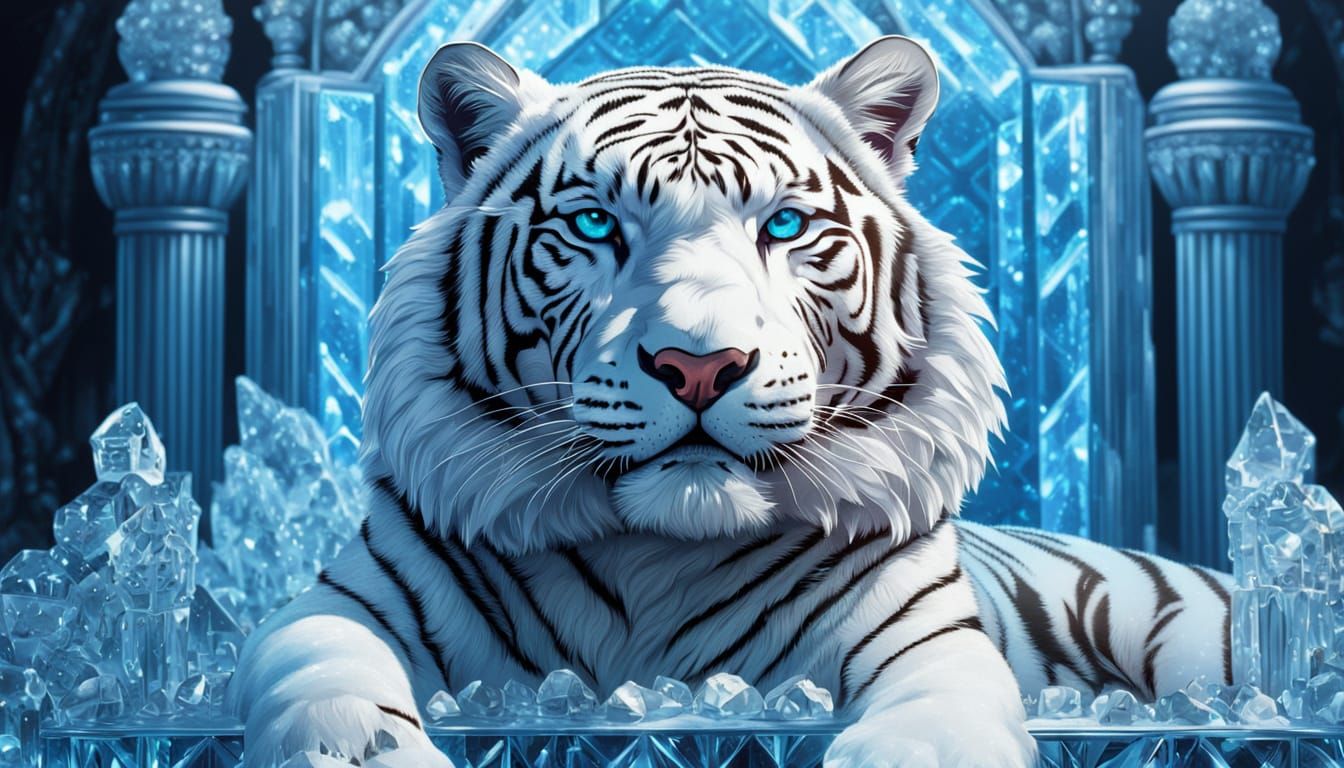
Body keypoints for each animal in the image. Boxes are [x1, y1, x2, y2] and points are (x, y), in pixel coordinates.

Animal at [229, 36, 1232, 768]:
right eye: (594, 223)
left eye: (783, 224)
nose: (700, 365)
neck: (660, 556)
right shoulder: (342, 602)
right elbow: (328, 683)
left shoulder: (927, 635)